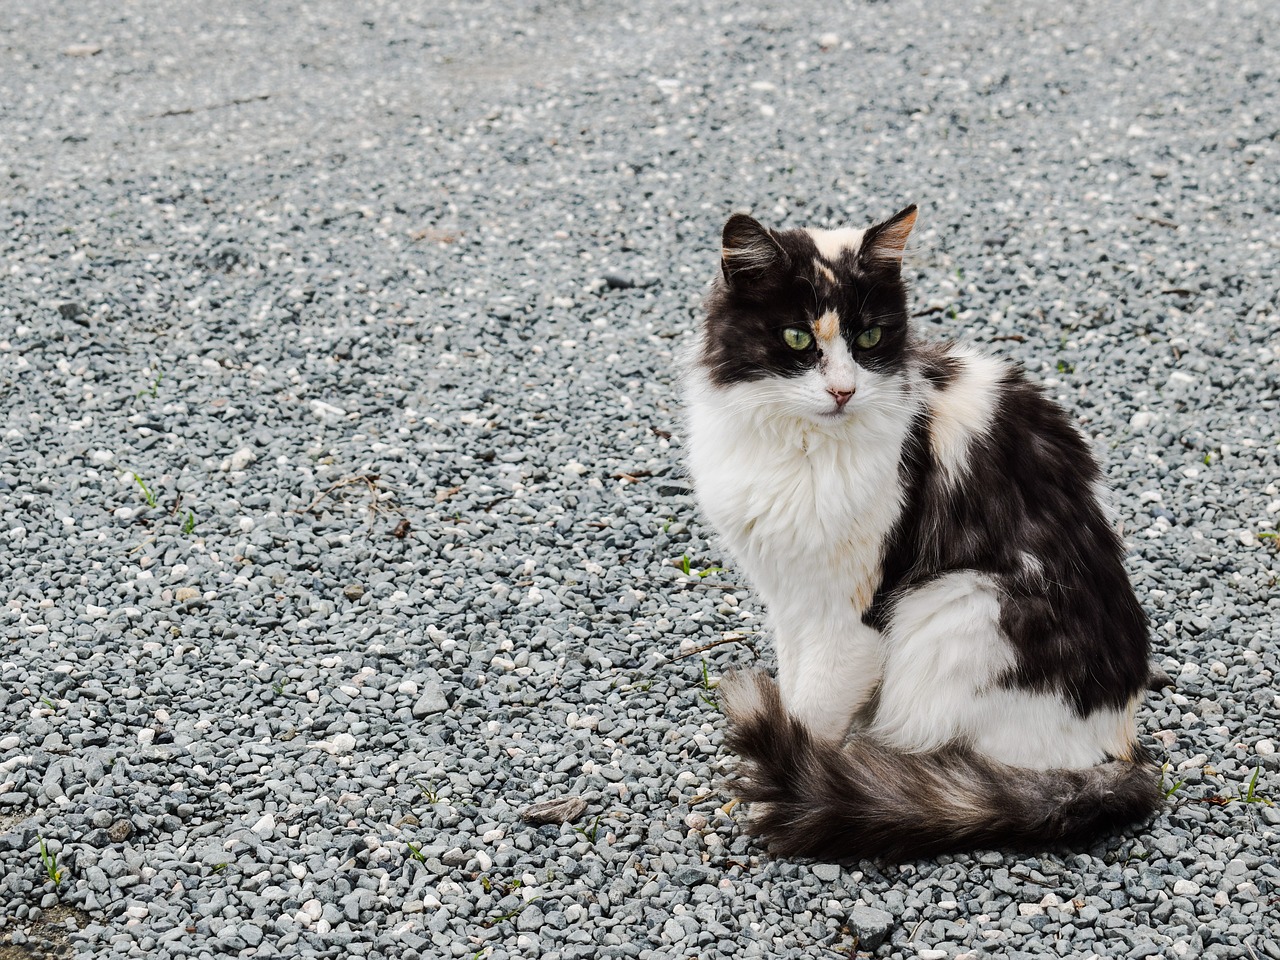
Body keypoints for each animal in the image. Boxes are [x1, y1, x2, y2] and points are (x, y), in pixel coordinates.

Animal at [686, 204, 1167, 865]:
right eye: (797, 339)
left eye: (868, 340)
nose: (843, 391)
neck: (799, 444)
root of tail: (1122, 751)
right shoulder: (792, 600)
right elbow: (792, 690)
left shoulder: (849, 620)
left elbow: (809, 716)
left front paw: (786, 782)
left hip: (956, 605)